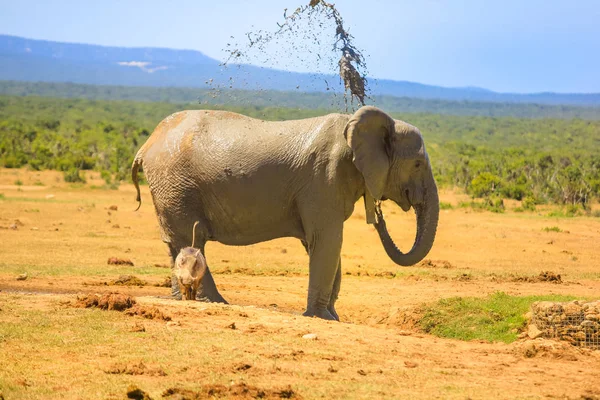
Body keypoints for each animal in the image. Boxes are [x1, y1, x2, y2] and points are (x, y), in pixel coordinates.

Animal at [132, 104, 440, 320]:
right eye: (417, 164)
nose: (379, 216)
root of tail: (147, 143)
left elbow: (325, 245)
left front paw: (334, 317)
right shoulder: (323, 179)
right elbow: (327, 241)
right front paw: (323, 318)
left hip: (170, 188)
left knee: (177, 242)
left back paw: (182, 299)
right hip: (176, 184)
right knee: (190, 240)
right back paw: (213, 302)